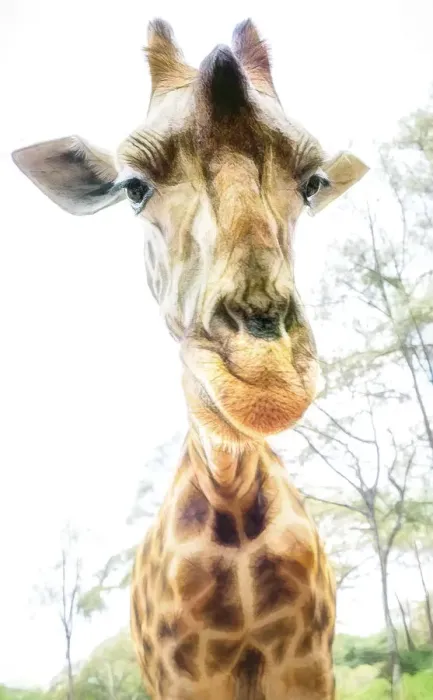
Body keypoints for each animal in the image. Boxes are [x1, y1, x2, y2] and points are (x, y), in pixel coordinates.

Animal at [12, 19, 369, 699]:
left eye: (312, 183)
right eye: (133, 186)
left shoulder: (308, 662)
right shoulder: (182, 674)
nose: (264, 378)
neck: (231, 503)